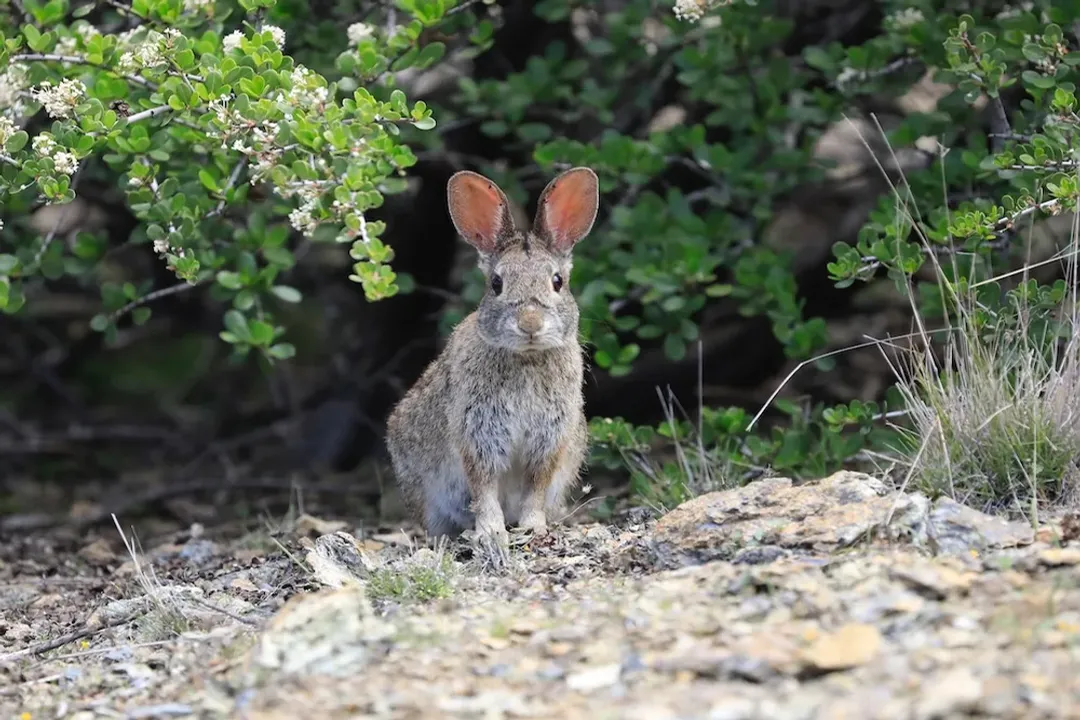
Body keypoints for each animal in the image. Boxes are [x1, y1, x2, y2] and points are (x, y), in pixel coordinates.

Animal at [385, 166, 600, 546]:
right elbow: (483, 486)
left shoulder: (549, 440)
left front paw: (532, 526)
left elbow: (535, 487)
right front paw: (490, 531)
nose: (530, 323)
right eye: (497, 284)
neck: (526, 357)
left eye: (557, 281)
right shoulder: (477, 432)